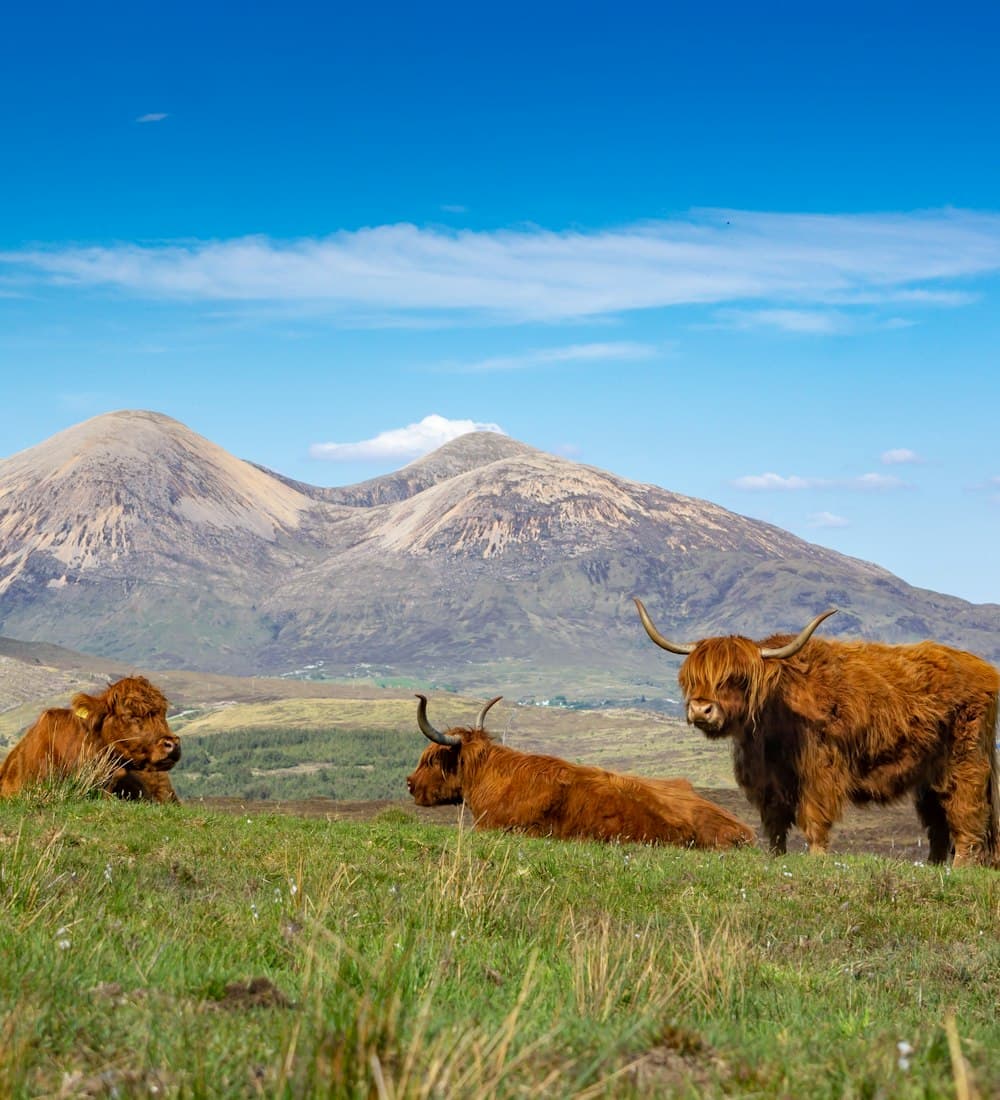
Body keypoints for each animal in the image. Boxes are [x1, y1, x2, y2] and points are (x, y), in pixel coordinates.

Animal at [634, 598, 1000, 867]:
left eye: (736, 678)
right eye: (693, 678)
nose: (701, 709)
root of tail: (985, 670)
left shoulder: (820, 773)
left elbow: (814, 817)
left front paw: (817, 858)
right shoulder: (768, 780)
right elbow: (775, 822)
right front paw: (775, 857)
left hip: (966, 761)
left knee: (966, 812)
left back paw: (960, 867)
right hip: (928, 773)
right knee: (937, 819)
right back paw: (934, 866)